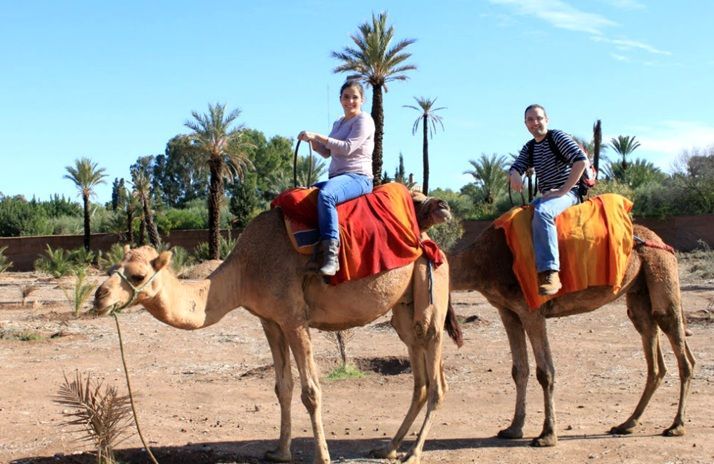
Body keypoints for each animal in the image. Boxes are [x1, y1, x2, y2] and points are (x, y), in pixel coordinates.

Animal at [93, 193, 461, 464]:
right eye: (112, 268)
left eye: (138, 275)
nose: (99, 297)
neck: (245, 270)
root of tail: (432, 242)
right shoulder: (269, 320)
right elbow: (282, 386)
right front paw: (280, 452)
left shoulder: (294, 318)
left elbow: (311, 391)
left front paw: (322, 457)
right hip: (404, 309)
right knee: (419, 376)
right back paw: (388, 448)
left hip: (432, 291)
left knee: (437, 378)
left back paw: (413, 454)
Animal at [448, 221, 695, 447]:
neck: (482, 262)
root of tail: (661, 242)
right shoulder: (507, 311)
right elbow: (519, 370)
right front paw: (513, 429)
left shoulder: (531, 310)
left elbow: (545, 372)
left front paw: (547, 435)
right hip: (638, 293)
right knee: (653, 352)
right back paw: (627, 424)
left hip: (661, 270)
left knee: (679, 347)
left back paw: (676, 426)